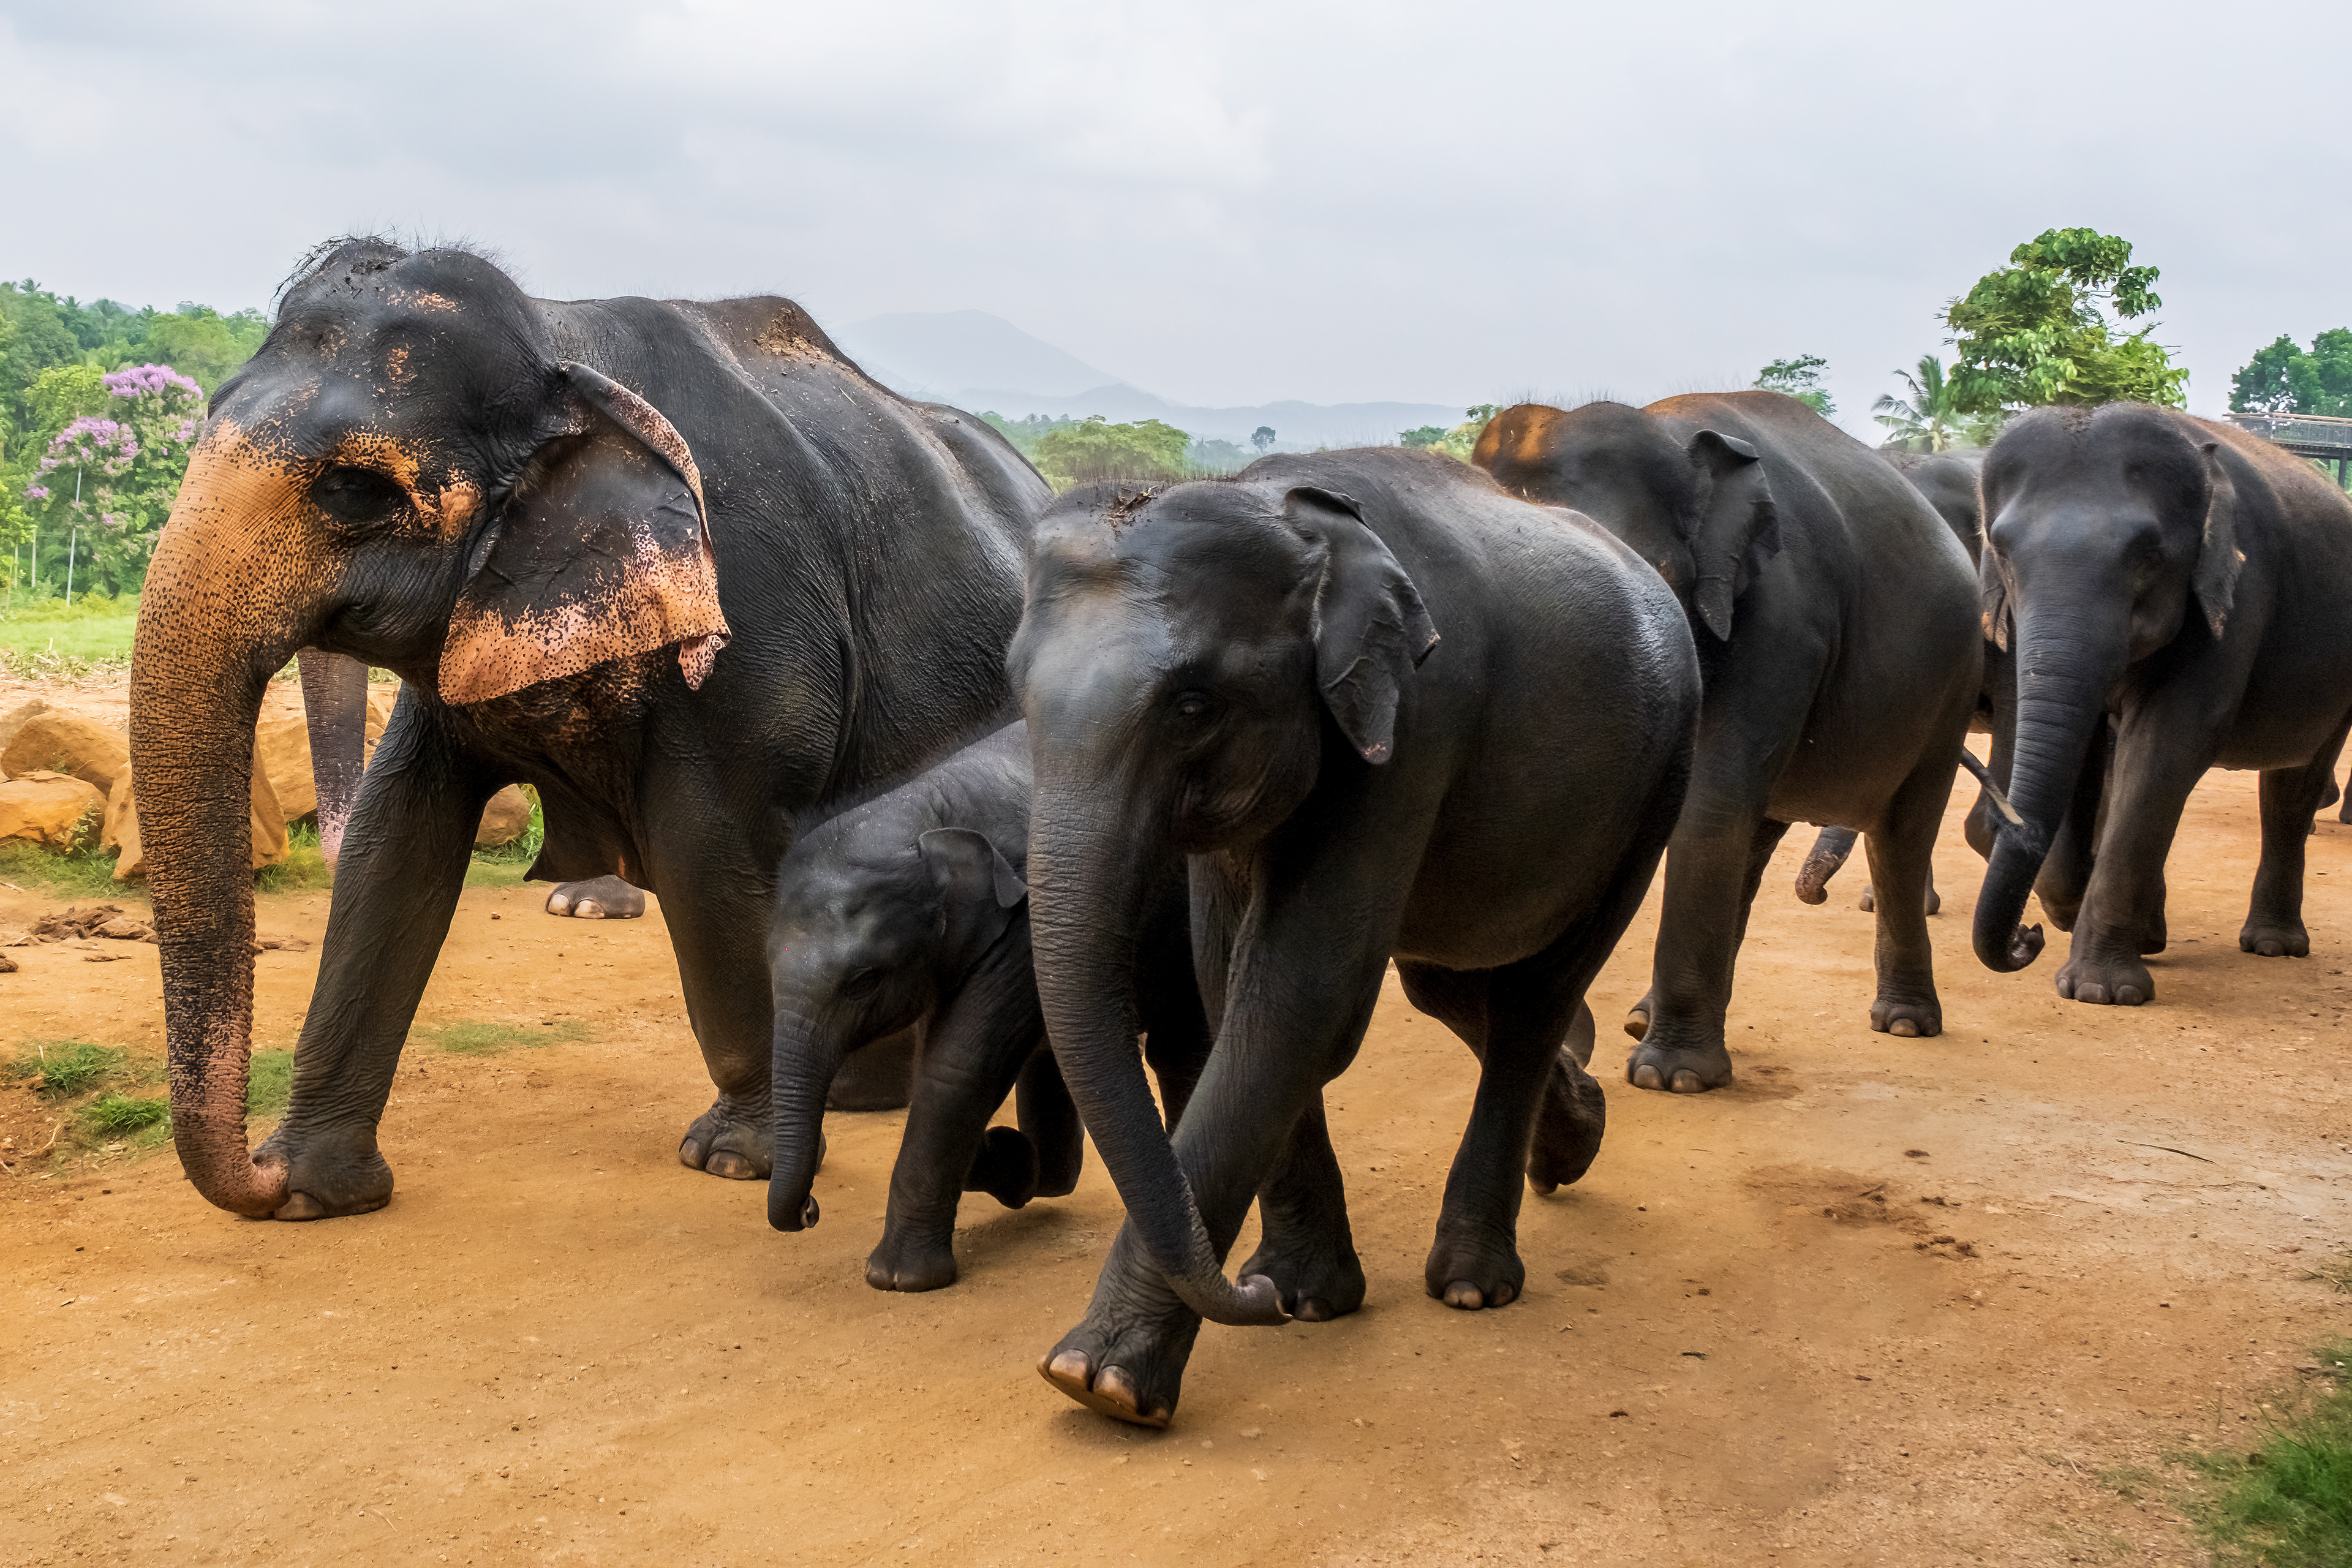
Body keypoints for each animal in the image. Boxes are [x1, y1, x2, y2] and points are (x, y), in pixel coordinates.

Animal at [132, 236, 1046, 1221]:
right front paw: (314, 1190)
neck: (559, 342)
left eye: (353, 489)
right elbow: (395, 839)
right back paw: (853, 1095)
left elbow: (708, 847)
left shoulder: (752, 616)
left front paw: (735, 1160)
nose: (256, 1179)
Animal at [765, 721, 1211, 1292]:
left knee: (1178, 1047)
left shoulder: (1026, 924)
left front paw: (898, 1279)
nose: (810, 1210)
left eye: (864, 981)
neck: (929, 809)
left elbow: (958, 1068)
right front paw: (1008, 1159)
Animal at [1015, 448, 1699, 1427]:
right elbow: (1232, 979)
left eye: (1192, 705)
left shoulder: (1416, 716)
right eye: (1017, 695)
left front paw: (1099, 1381)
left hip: (1658, 781)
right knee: (1446, 981)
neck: (1278, 505)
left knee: (1536, 996)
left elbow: (1299, 992)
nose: (1252, 1298)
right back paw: (1576, 1140)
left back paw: (1474, 1284)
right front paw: (1303, 1297)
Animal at [1475, 392, 1982, 1094]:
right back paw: (1641, 1017)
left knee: (1900, 832)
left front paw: (1671, 1079)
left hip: (1952, 682)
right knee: (1758, 836)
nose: (1572, 1051)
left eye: (1651, 580)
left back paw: (1905, 1024)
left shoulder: (1787, 617)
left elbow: (1710, 798)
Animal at [1970, 403, 2352, 1005]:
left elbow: (2167, 743)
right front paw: (2095, 922)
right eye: (2002, 550)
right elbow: (2086, 749)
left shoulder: (2241, 591)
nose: (2024, 937)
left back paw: (2274, 945)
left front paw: (2101, 991)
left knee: (2293, 786)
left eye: (2148, 555)